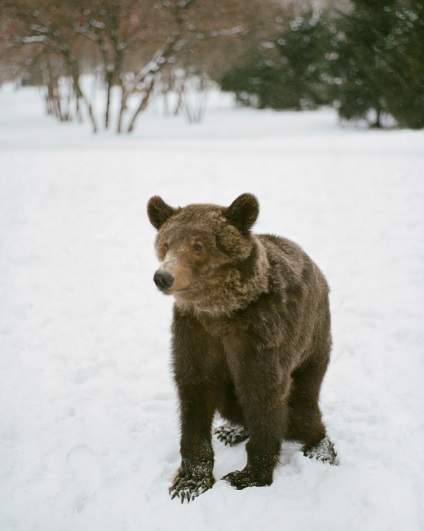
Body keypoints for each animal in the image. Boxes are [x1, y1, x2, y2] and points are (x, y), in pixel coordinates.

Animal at [147, 194, 336, 502]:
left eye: (198, 245)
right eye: (166, 244)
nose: (163, 276)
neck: (220, 312)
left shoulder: (259, 335)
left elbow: (263, 394)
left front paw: (249, 475)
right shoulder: (195, 333)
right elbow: (194, 392)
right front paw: (190, 481)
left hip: (312, 349)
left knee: (301, 409)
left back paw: (320, 448)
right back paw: (232, 430)